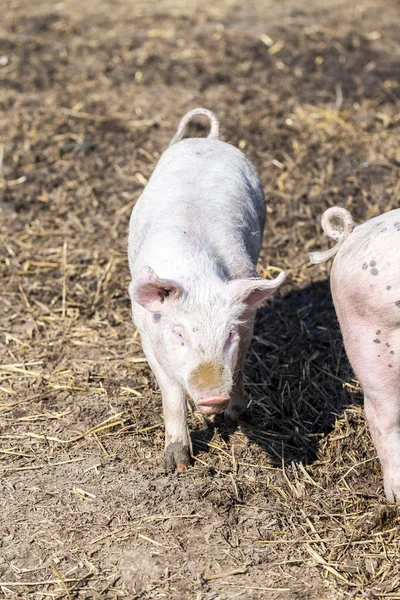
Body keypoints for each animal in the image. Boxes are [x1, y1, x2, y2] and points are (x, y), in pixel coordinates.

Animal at [126, 108, 286, 474]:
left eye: (228, 335)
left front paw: (237, 417)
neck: (198, 274)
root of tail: (208, 139)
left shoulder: (247, 321)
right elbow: (171, 393)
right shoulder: (147, 337)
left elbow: (239, 368)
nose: (213, 394)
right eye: (179, 334)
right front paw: (179, 465)